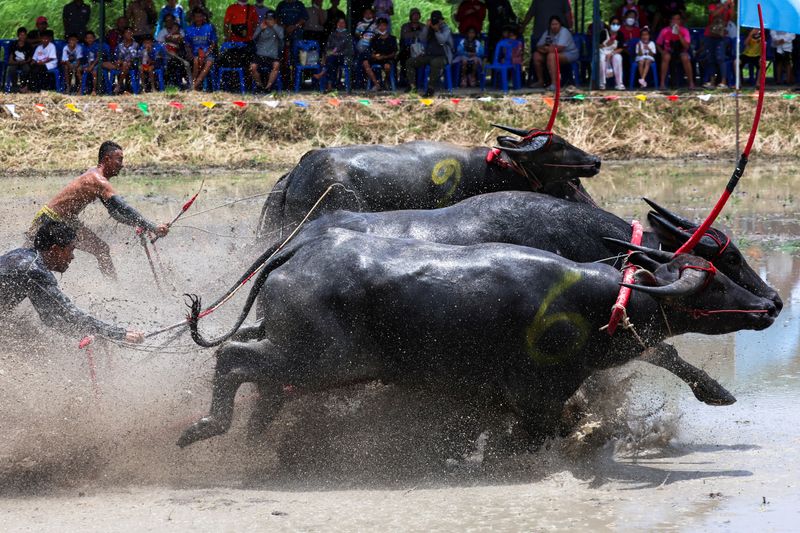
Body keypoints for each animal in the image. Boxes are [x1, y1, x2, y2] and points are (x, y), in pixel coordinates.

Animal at [180, 227, 776, 446]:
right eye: (714, 280)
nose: (769, 304)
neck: (598, 299)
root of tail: (295, 253)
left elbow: (665, 351)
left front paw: (716, 391)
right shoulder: (538, 393)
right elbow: (547, 428)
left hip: (299, 357)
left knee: (256, 373)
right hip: (316, 360)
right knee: (234, 357)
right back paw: (206, 427)